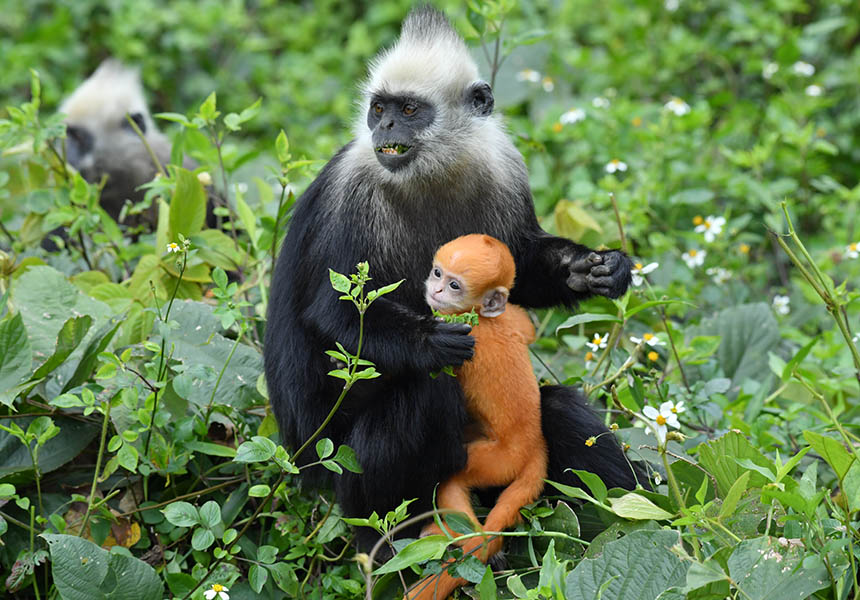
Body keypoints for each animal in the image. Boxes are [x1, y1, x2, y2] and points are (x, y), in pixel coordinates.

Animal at [268, 7, 640, 556]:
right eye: (379, 109)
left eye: (409, 109)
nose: (386, 127)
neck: (430, 173)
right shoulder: (351, 191)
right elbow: (336, 314)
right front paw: (430, 341)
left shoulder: (502, 167)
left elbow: (522, 269)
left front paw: (595, 268)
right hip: (330, 461)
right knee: (427, 393)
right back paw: (387, 545)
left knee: (557, 407)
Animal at [412, 234, 548, 600]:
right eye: (438, 272)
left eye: (454, 285)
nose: (436, 289)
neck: (483, 319)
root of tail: (535, 442)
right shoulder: (511, 322)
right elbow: (525, 327)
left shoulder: (460, 334)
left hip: (498, 461)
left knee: (454, 484)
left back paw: (466, 539)